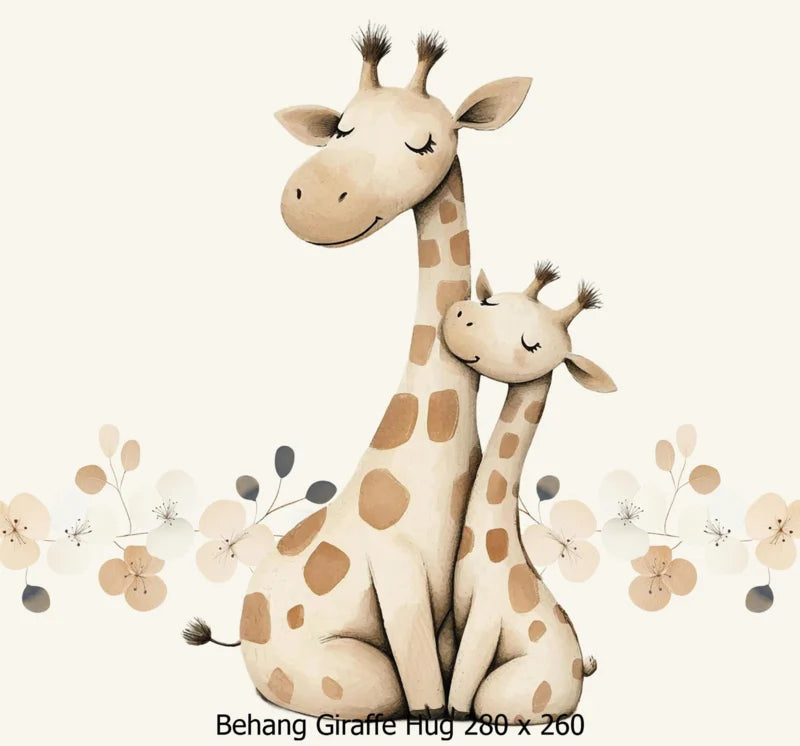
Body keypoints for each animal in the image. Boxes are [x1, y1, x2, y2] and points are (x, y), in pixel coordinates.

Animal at [238, 27, 532, 719]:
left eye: (424, 141)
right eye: (340, 128)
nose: (309, 200)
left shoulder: (440, 607)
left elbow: (441, 690)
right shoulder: (398, 582)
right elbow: (424, 699)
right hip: (353, 681)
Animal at [440, 262, 616, 723]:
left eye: (531, 345)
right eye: (489, 301)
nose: (461, 318)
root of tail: (579, 677)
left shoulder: (484, 622)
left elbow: (460, 696)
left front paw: (446, 715)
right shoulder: (456, 620)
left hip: (505, 693)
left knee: (487, 702)